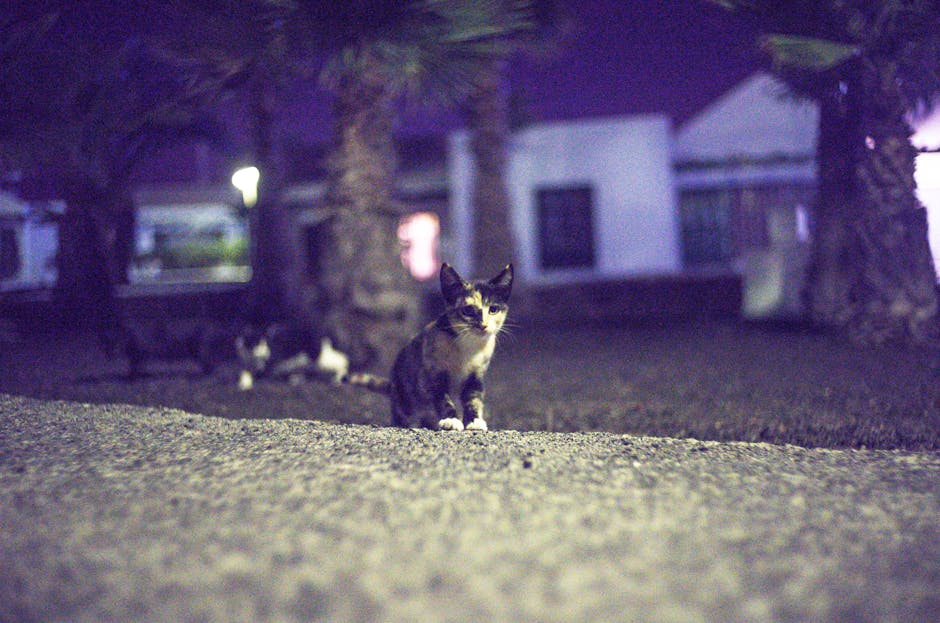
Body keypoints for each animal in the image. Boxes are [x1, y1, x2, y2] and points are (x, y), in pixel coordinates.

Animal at [344, 260, 510, 432]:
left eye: (493, 309)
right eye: (468, 310)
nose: (483, 325)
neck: (468, 347)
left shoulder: (476, 376)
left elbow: (474, 400)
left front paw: (474, 421)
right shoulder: (432, 374)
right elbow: (443, 399)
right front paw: (451, 420)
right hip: (405, 400)